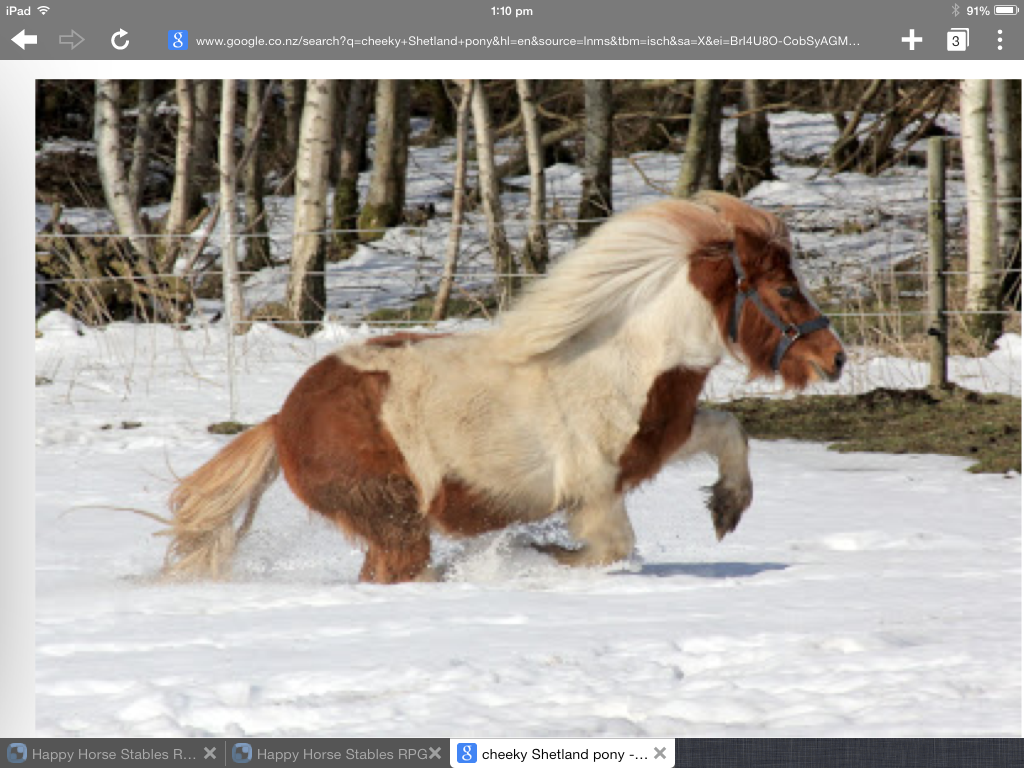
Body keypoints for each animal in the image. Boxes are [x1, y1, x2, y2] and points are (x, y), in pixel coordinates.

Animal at [160, 193, 846, 584]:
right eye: (787, 290)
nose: (835, 358)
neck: (617, 362)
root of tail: (282, 420)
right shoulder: (594, 495)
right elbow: (611, 550)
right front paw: (522, 557)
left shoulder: (659, 439)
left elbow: (730, 429)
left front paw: (727, 508)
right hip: (396, 523)